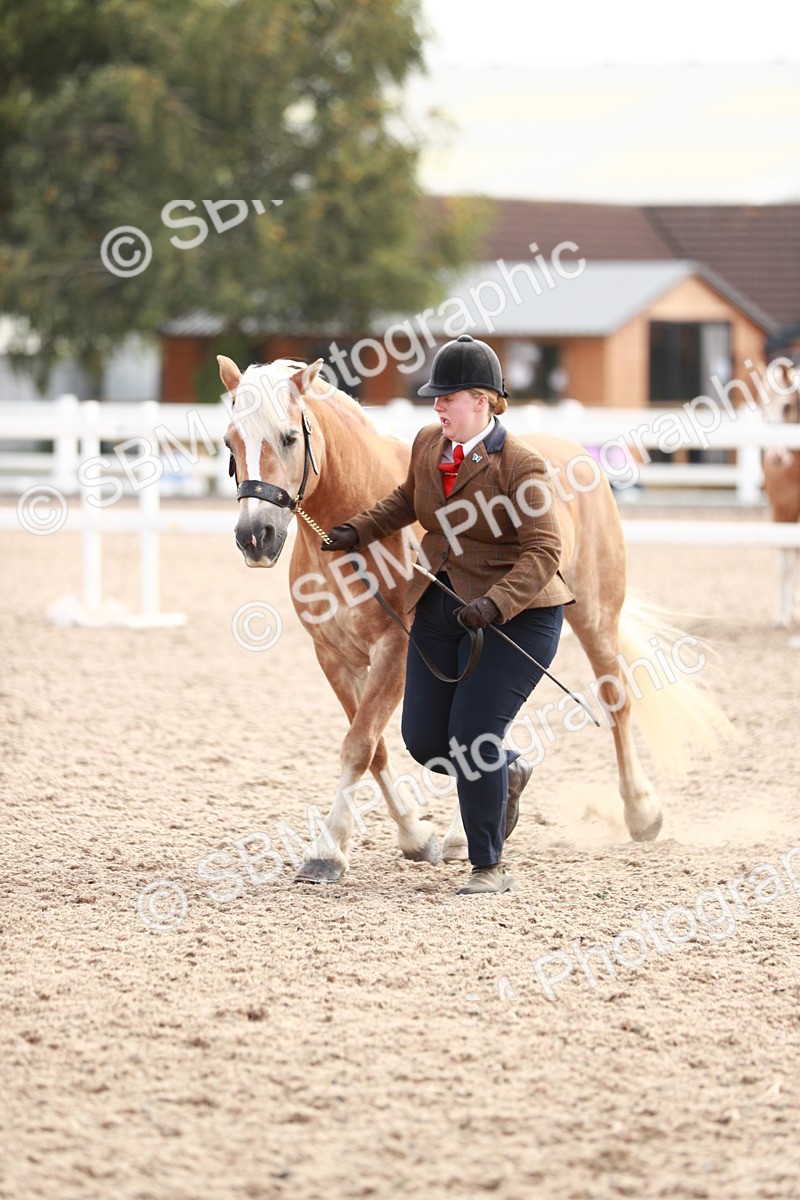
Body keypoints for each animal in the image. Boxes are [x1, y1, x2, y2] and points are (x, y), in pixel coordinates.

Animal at [219, 354, 730, 884]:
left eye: (288, 438)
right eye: (230, 443)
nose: (255, 537)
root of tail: (575, 452)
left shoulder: (395, 652)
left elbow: (359, 744)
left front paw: (328, 851)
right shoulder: (334, 657)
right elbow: (376, 747)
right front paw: (415, 836)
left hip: (595, 617)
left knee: (615, 701)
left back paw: (641, 811)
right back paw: (471, 828)